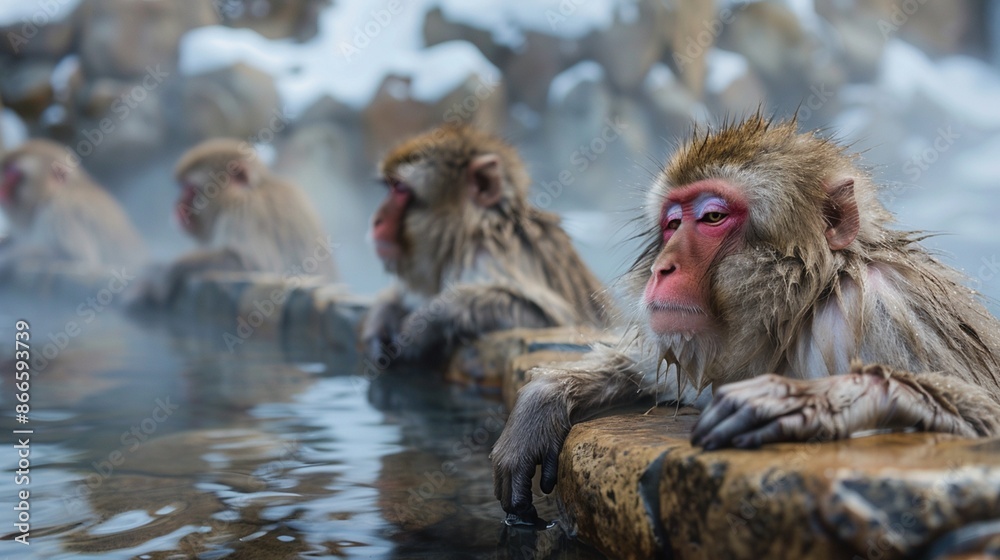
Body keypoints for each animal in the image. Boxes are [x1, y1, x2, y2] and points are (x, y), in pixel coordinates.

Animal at [136, 138, 336, 306]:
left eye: (188, 187)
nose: (176, 204)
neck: (255, 188)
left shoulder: (243, 215)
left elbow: (253, 267)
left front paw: (166, 270)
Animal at [361, 125, 615, 365]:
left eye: (400, 189)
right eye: (390, 186)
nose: (376, 220)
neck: (466, 238)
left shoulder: (492, 256)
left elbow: (545, 318)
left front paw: (431, 321)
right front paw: (383, 319)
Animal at [491, 114, 1000, 524]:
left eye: (712, 216)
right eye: (672, 223)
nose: (662, 268)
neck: (807, 303)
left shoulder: (889, 312)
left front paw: (808, 401)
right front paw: (544, 399)